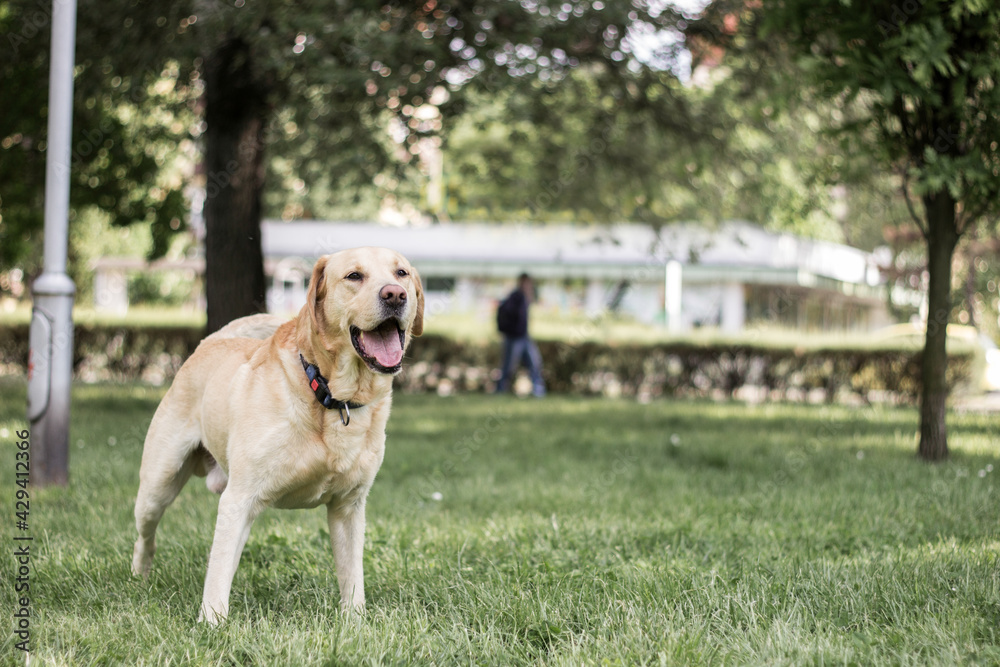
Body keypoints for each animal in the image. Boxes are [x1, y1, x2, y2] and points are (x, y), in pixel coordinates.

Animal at [132, 247, 422, 628]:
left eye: (402, 273)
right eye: (354, 276)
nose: (395, 294)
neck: (330, 396)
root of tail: (213, 340)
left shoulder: (349, 507)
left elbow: (352, 577)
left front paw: (355, 623)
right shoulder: (238, 499)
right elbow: (217, 573)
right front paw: (211, 625)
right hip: (159, 483)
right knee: (148, 536)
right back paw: (140, 577)